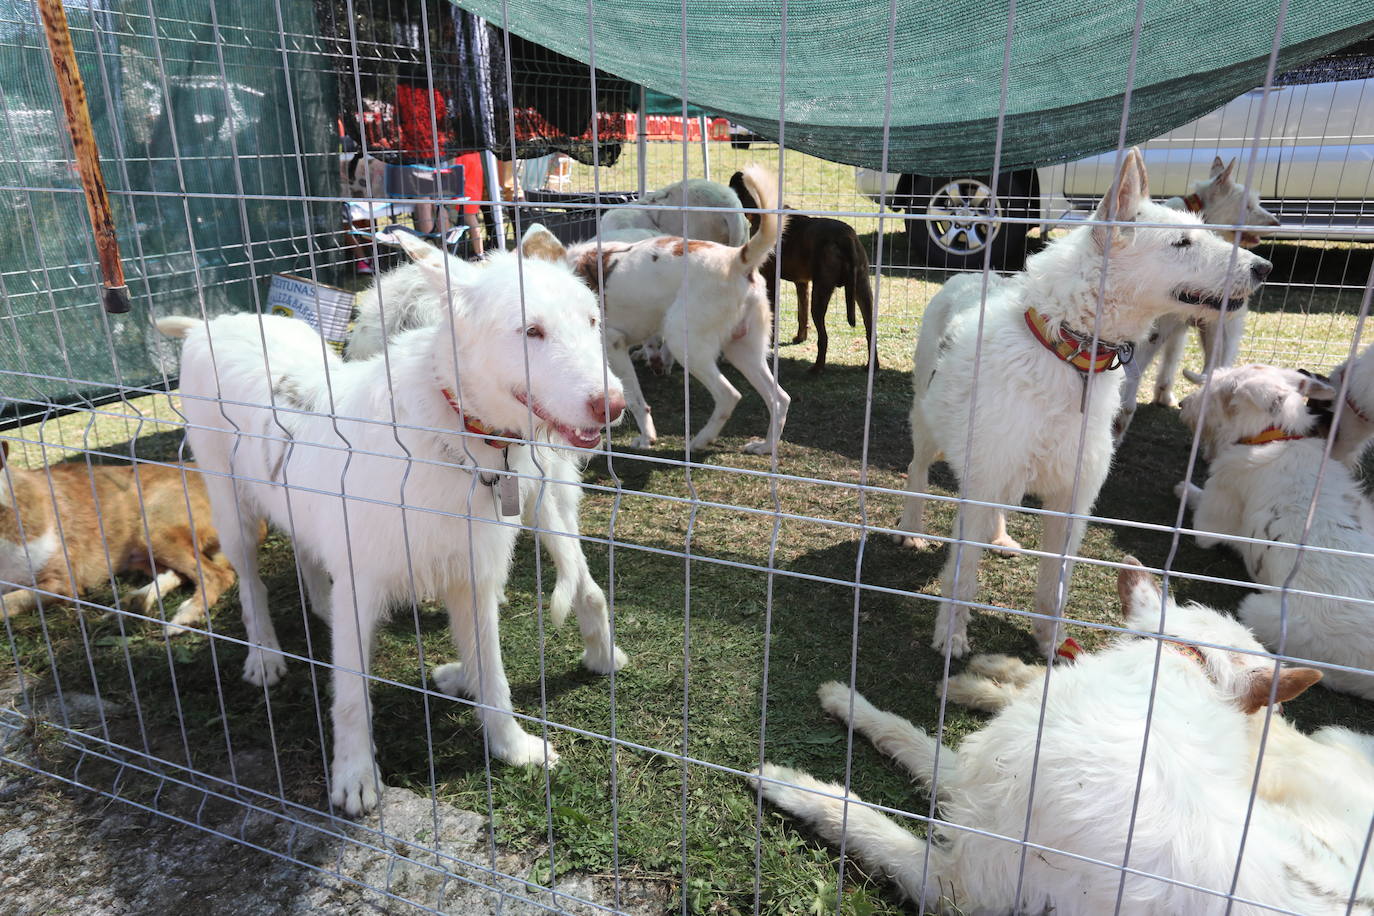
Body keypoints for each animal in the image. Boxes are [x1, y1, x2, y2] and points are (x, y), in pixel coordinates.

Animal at [1, 444, 247, 637]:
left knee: (218, 575)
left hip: (153, 528)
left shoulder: (60, 583)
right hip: (142, 551)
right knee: (184, 574)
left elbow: (5, 602)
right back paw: (136, 601)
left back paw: (185, 616)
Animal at [159, 227, 629, 818]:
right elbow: (350, 695)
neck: (456, 431)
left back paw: (321, 608)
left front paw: (510, 746)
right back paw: (264, 653)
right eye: (531, 331)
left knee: (307, 552)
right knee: (248, 582)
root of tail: (213, 325)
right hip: (231, 506)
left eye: (591, 321)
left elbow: (493, 672)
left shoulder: (474, 578)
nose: (614, 405)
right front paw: (354, 776)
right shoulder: (363, 582)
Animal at [730, 170, 868, 373]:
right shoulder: (802, 284)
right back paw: (871, 366)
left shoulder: (771, 280)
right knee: (870, 330)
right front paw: (800, 338)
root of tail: (845, 238)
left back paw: (817, 368)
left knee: (824, 337)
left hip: (821, 295)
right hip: (862, 291)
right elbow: (801, 313)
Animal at [758, 560, 1374, 916]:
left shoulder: (963, 883)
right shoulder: (983, 783)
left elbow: (863, 821)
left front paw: (788, 784)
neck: (1175, 671)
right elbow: (910, 737)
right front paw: (846, 702)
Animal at [895, 146, 1269, 656]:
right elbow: (962, 576)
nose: (1264, 269)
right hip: (927, 426)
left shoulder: (1072, 499)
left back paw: (1000, 536)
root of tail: (965, 276)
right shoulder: (986, 479)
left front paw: (1052, 643)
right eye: (1182, 243)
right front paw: (951, 635)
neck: (1070, 355)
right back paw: (911, 529)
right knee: (916, 471)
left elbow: (1056, 583)